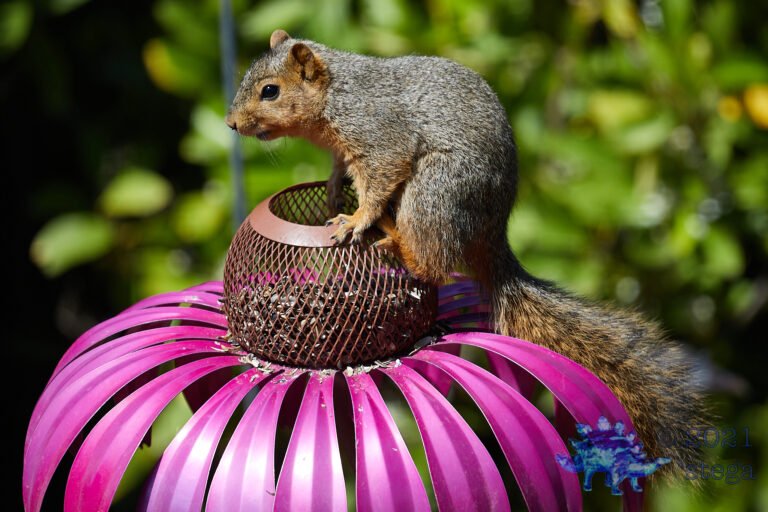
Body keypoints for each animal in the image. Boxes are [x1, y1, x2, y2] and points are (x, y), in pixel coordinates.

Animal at [226, 29, 706, 478]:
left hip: (435, 192)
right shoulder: (345, 150)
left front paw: (357, 218)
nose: (231, 123)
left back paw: (395, 240)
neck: (335, 95)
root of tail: (492, 236)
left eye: (270, 90)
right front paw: (330, 192)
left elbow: (380, 178)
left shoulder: (378, 135)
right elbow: (339, 170)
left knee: (433, 265)